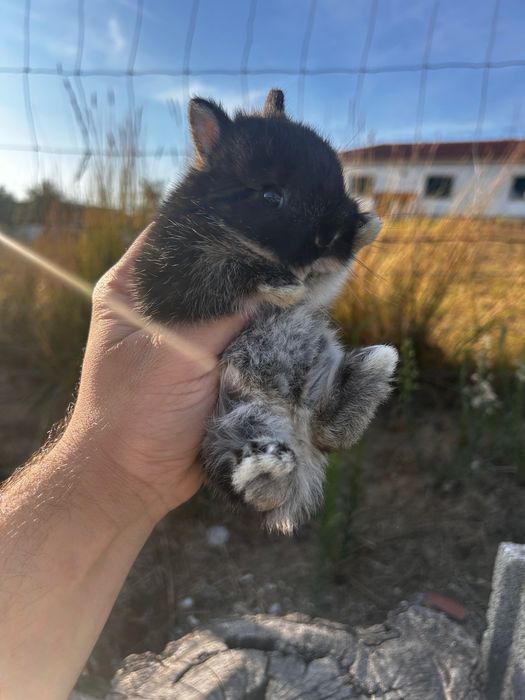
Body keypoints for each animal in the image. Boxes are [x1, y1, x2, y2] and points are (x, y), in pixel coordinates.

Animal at [132, 89, 398, 532]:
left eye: (341, 182)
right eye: (271, 196)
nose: (330, 236)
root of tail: (294, 427)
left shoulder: (319, 283)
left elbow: (324, 279)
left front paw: (367, 225)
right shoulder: (171, 278)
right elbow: (224, 268)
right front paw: (280, 284)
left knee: (330, 433)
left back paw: (373, 367)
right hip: (230, 427)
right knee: (247, 484)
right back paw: (267, 466)